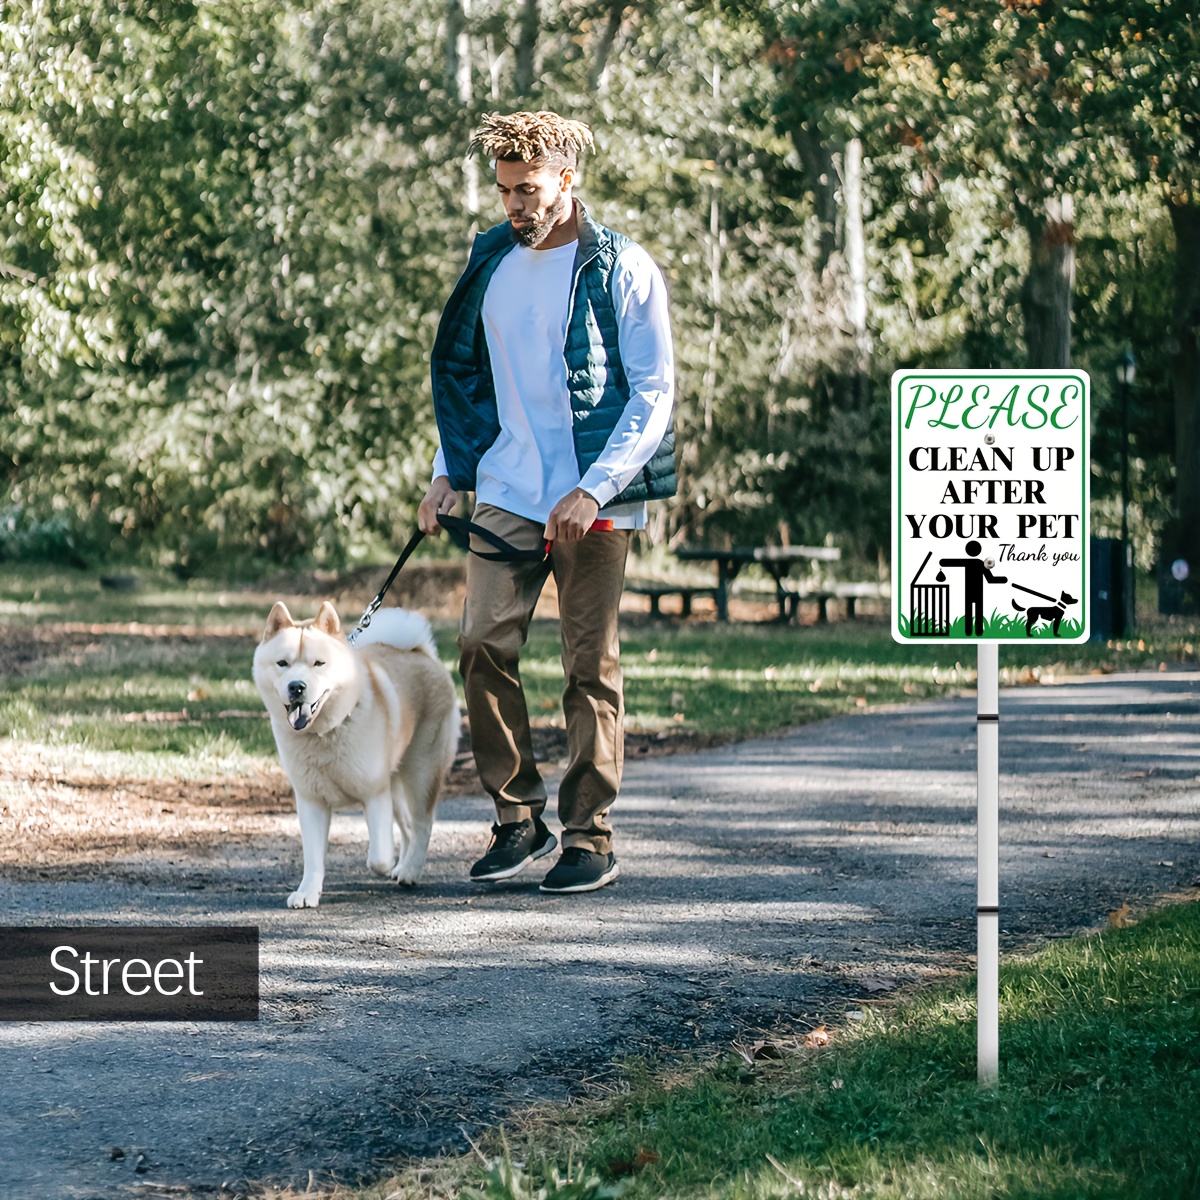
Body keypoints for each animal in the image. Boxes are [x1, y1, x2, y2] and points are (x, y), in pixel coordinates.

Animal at [253, 604, 458, 902]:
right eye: (282, 664)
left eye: (318, 664)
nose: (297, 686)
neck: (324, 733)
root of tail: (421, 653)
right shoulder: (312, 801)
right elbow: (313, 858)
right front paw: (307, 892)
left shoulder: (375, 793)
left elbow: (378, 857)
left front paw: (385, 865)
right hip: (396, 786)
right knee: (408, 826)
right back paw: (404, 866)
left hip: (420, 775)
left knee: (422, 824)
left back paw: (409, 870)